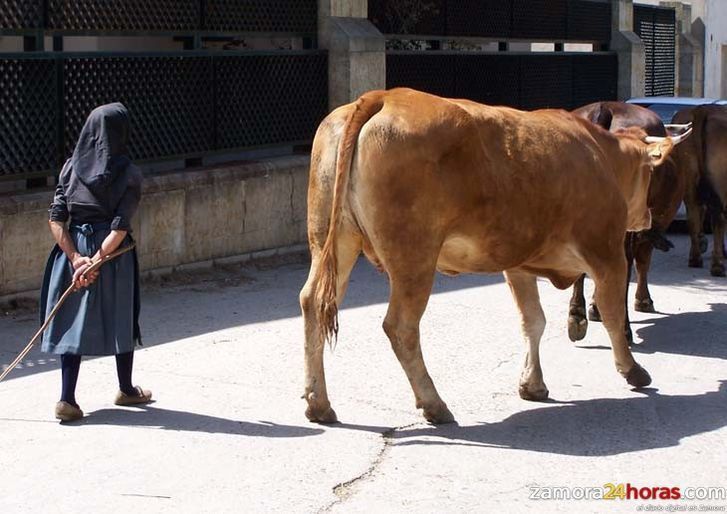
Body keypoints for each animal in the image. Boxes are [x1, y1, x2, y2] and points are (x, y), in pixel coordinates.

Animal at [672, 105, 727, 276]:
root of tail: (703, 110)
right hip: (721, 183)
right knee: (718, 218)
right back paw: (717, 265)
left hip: (689, 180)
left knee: (693, 215)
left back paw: (695, 258)